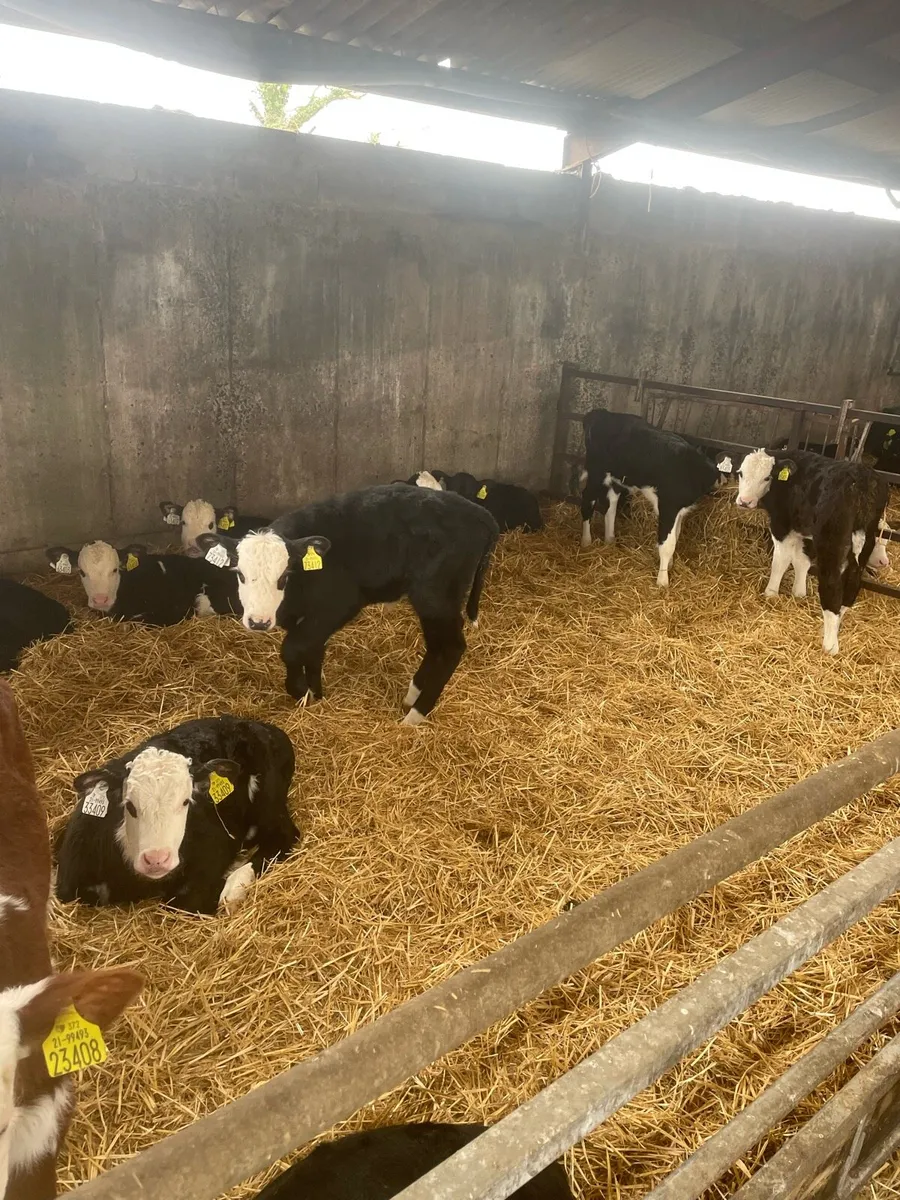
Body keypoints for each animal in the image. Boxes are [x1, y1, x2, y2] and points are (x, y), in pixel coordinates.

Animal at [197, 484, 498, 726]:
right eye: (240, 573)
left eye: (284, 576)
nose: (258, 622)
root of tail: (476, 511)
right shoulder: (307, 618)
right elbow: (311, 652)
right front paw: (315, 694)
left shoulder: (338, 605)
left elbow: (292, 649)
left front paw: (300, 692)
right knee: (436, 646)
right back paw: (413, 694)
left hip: (436, 596)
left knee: (451, 648)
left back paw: (415, 715)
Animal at [579, 410, 730, 586]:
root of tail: (601, 413)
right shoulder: (668, 507)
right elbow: (667, 544)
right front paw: (663, 580)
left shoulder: (680, 510)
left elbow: (676, 536)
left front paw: (669, 565)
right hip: (596, 471)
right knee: (588, 500)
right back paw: (586, 541)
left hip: (618, 478)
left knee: (612, 502)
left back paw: (610, 539)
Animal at [734, 447, 889, 655]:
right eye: (741, 473)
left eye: (767, 477)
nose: (745, 501)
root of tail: (864, 481)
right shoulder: (805, 531)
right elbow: (802, 561)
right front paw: (799, 593)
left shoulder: (782, 525)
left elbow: (781, 561)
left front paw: (771, 593)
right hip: (867, 540)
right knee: (852, 584)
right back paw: (835, 627)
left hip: (832, 542)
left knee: (832, 584)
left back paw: (830, 645)